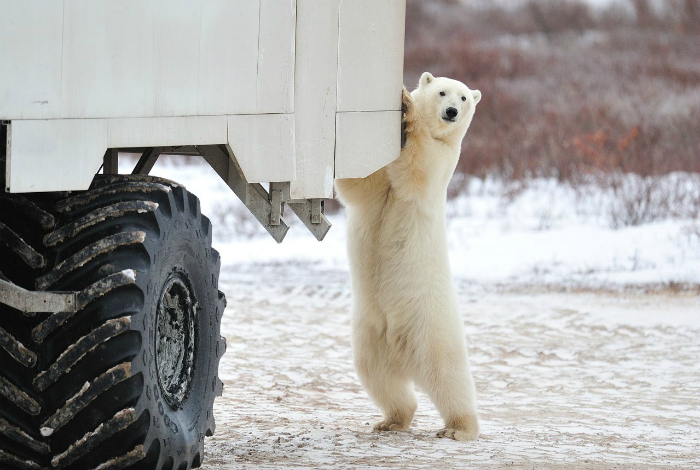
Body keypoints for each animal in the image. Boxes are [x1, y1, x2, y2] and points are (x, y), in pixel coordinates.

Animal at [334, 72, 482, 440]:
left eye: (463, 98)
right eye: (442, 92)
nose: (451, 112)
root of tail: (403, 353)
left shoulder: (444, 161)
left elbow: (418, 167)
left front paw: (407, 107)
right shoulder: (377, 190)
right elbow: (362, 186)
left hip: (431, 328)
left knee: (448, 376)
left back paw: (459, 428)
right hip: (372, 335)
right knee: (379, 377)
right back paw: (391, 420)